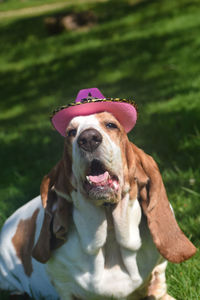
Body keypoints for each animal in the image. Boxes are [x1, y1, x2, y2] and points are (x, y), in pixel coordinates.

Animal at [0, 88, 196, 298]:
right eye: (71, 132)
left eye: (111, 125)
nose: (88, 139)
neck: (109, 234)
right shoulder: (63, 285)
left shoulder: (158, 278)